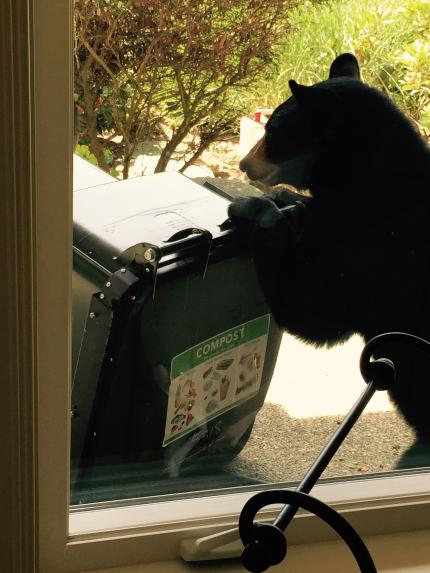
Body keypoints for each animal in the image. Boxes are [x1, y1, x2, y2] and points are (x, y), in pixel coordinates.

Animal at [230, 52, 430, 464]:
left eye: (272, 132)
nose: (241, 165)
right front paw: (287, 201)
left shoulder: (370, 261)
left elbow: (310, 314)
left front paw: (256, 210)